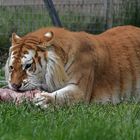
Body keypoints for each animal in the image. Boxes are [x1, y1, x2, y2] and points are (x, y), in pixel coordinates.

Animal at [4, 25, 140, 106]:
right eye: (11, 67)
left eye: (28, 66)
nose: (14, 86)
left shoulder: (80, 90)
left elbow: (63, 95)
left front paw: (44, 100)